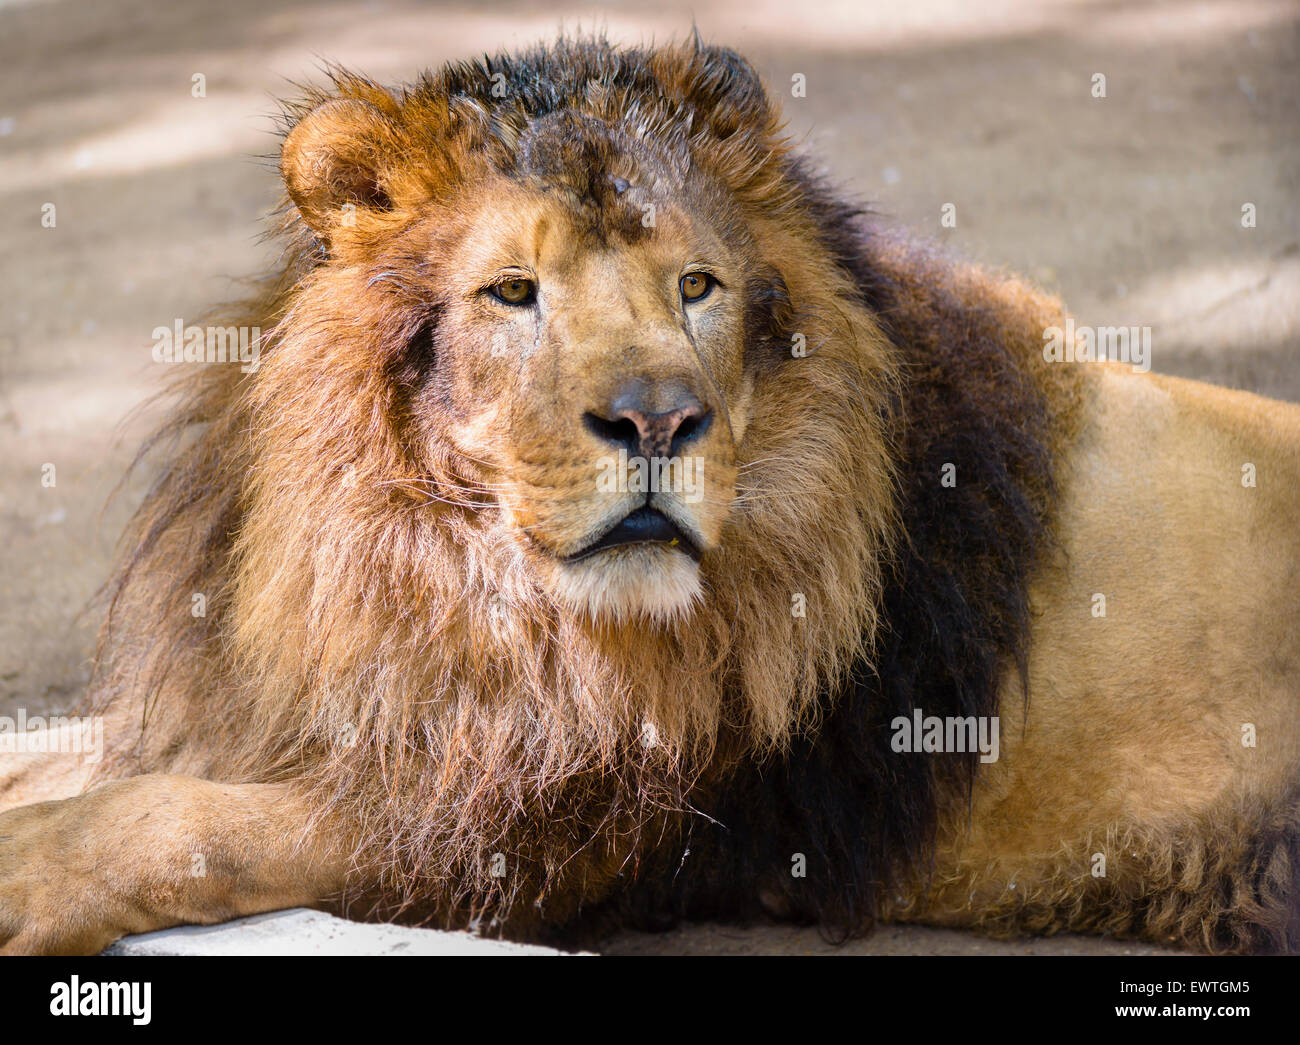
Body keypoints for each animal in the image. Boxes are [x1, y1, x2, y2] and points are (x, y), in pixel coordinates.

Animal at [2, 34, 1300, 956]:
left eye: (697, 287)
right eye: (512, 292)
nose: (659, 420)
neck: (450, 573)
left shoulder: (528, 832)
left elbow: (193, 821)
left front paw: (30, 870)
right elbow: (78, 754)